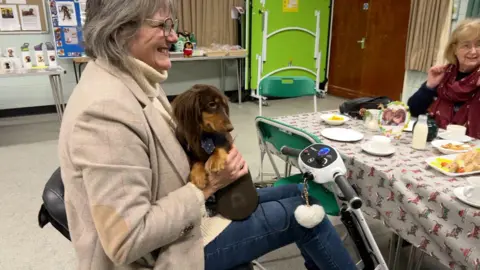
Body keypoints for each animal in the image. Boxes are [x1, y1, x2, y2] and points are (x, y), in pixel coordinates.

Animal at [172, 84, 258, 219]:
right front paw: (198, 177)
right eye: (212, 104)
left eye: (224, 105)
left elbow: (220, 146)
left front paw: (216, 160)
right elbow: (196, 161)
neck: (202, 135)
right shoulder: (188, 150)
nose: (230, 128)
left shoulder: (226, 141)